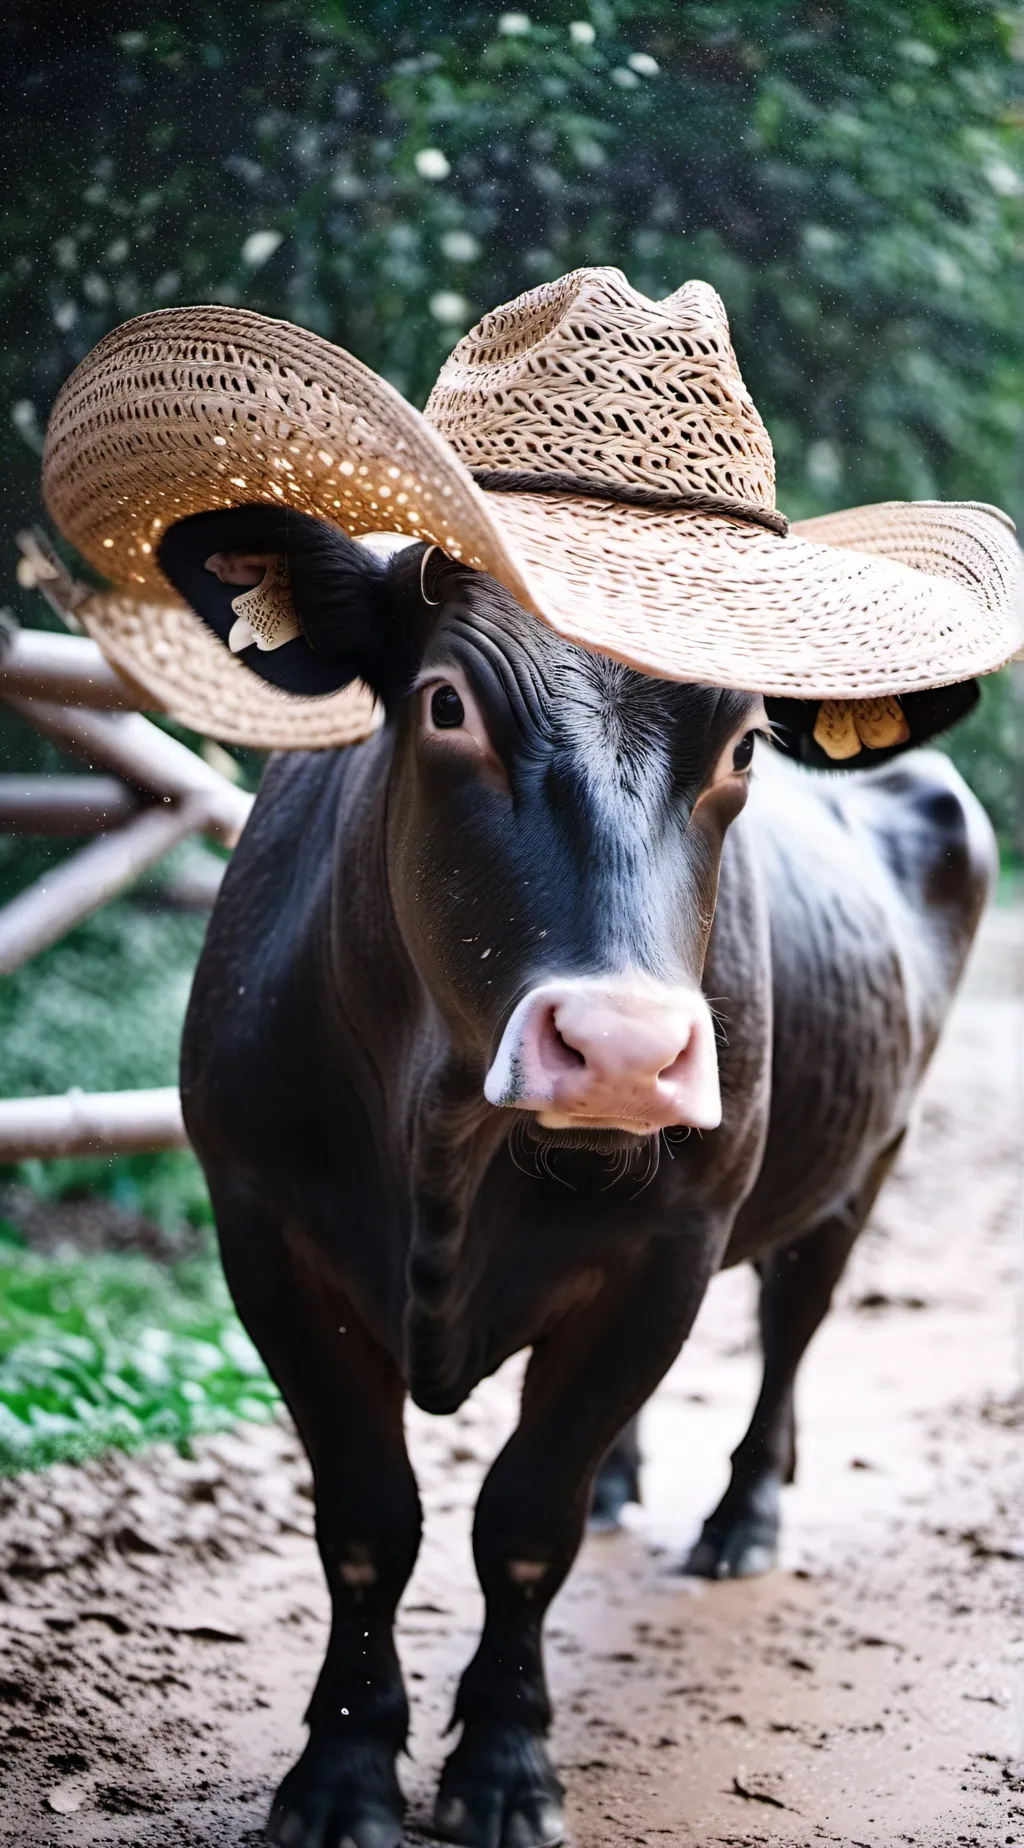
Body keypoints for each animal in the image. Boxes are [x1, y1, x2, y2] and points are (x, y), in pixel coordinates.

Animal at [172, 507, 993, 1848]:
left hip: (863, 1159)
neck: (444, 1142)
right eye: (446, 704)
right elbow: (365, 1519)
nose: (620, 1051)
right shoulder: (262, 1227)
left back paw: (741, 1519)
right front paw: (342, 1771)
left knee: (792, 1328)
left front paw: (505, 1763)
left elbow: (523, 1519)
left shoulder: (671, 1247)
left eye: (747, 744)